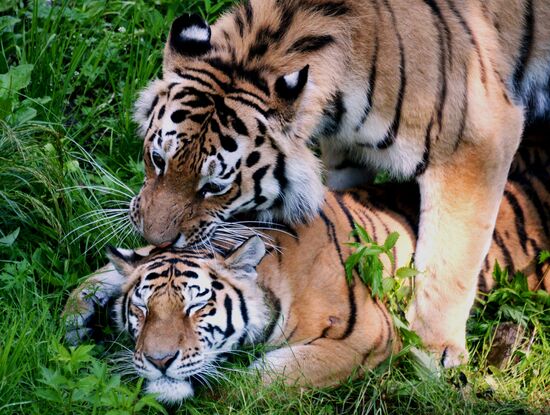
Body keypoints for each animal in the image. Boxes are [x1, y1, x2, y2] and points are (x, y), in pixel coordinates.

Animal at [66, 144, 550, 404]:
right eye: (142, 310)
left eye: (197, 307)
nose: (159, 361)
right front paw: (76, 318)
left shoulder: (364, 335)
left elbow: (259, 381)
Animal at [127, 0, 550, 366]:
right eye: (158, 160)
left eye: (215, 187)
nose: (156, 239)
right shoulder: (349, 146)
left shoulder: (479, 140)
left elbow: (451, 260)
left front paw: (434, 351)